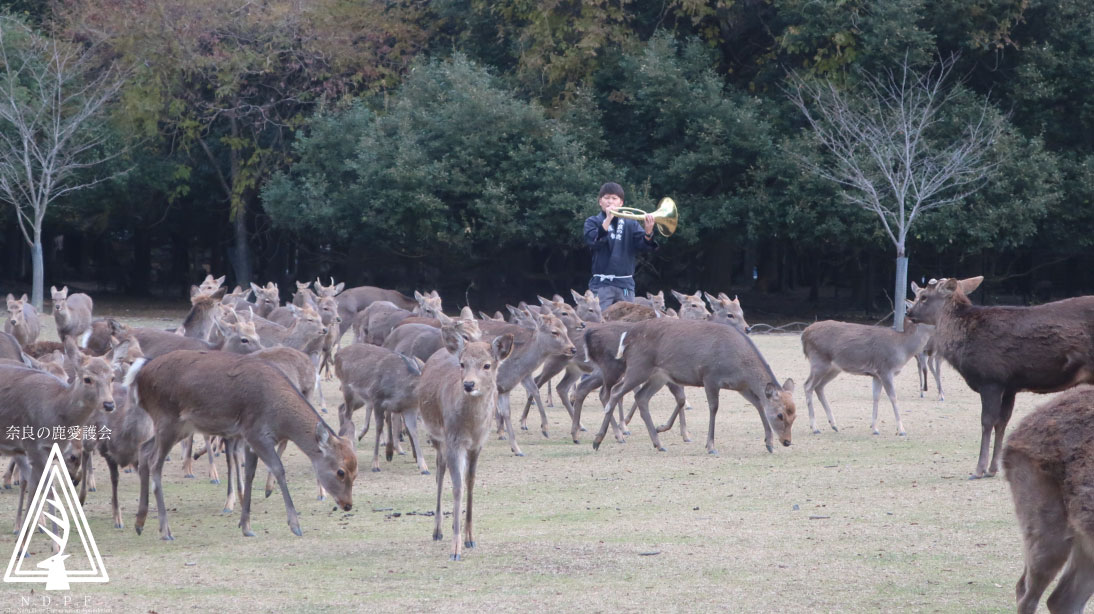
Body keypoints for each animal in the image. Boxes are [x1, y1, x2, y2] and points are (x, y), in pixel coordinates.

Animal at [128, 349, 358, 540]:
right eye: (340, 472)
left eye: (355, 473)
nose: (347, 505)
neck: (280, 417)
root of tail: (139, 376)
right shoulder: (257, 433)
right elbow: (278, 469)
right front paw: (295, 525)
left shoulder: (248, 438)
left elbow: (249, 474)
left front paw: (246, 526)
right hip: (167, 420)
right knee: (155, 462)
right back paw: (165, 530)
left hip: (180, 426)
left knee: (144, 449)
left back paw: (140, 522)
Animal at [418, 327, 514, 560]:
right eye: (462, 364)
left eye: (487, 365)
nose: (469, 384)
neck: (471, 427)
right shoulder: (454, 441)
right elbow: (457, 486)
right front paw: (455, 549)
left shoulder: (478, 444)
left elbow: (470, 482)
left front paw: (470, 538)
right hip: (437, 436)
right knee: (439, 471)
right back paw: (437, 531)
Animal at [590, 319, 796, 455]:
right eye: (780, 415)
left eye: (794, 415)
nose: (787, 441)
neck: (740, 365)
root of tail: (626, 337)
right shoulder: (710, 377)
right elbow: (714, 408)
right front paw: (711, 446)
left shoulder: (741, 386)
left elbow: (759, 404)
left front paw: (769, 443)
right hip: (638, 366)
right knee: (615, 392)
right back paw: (599, 440)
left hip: (658, 376)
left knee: (641, 397)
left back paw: (658, 443)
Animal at [800, 317, 934, 436]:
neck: (902, 347)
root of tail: (804, 334)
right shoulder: (885, 370)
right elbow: (893, 397)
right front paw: (901, 430)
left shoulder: (876, 375)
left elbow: (876, 397)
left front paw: (874, 428)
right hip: (819, 361)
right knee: (807, 385)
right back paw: (815, 428)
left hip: (834, 368)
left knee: (819, 387)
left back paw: (834, 425)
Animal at [907, 275, 1094, 479]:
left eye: (923, 296)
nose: (908, 312)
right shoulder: (1010, 386)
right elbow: (1002, 422)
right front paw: (993, 468)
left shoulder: (991, 378)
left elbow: (987, 421)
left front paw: (979, 470)